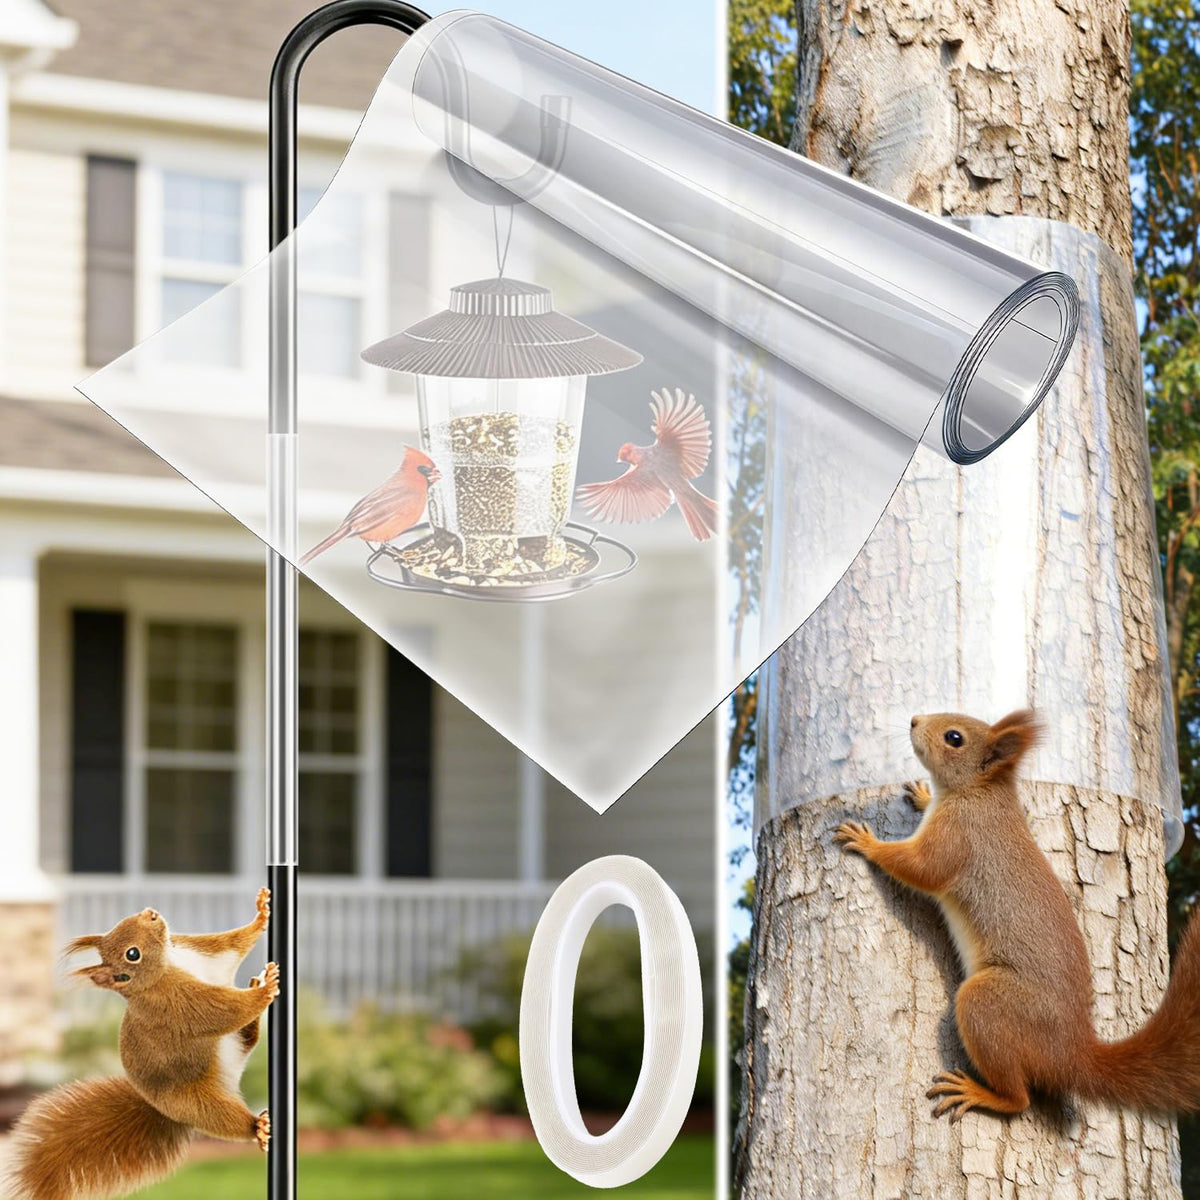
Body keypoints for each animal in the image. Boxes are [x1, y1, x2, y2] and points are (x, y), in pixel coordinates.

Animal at [4, 888, 279, 1200]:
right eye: (132, 954)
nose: (151, 913)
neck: (169, 963)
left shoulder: (202, 953)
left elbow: (230, 944)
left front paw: (261, 914)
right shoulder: (176, 1004)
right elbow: (222, 1011)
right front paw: (267, 991)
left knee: (247, 1038)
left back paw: (255, 994)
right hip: (198, 1103)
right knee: (229, 1120)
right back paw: (258, 1127)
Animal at [835, 709, 1200, 1122]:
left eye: (954, 738)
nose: (914, 720)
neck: (980, 792)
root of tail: (1072, 1054)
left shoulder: (959, 836)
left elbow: (922, 868)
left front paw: (868, 843)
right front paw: (923, 794)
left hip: (991, 1005)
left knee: (1019, 1098)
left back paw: (979, 1093)